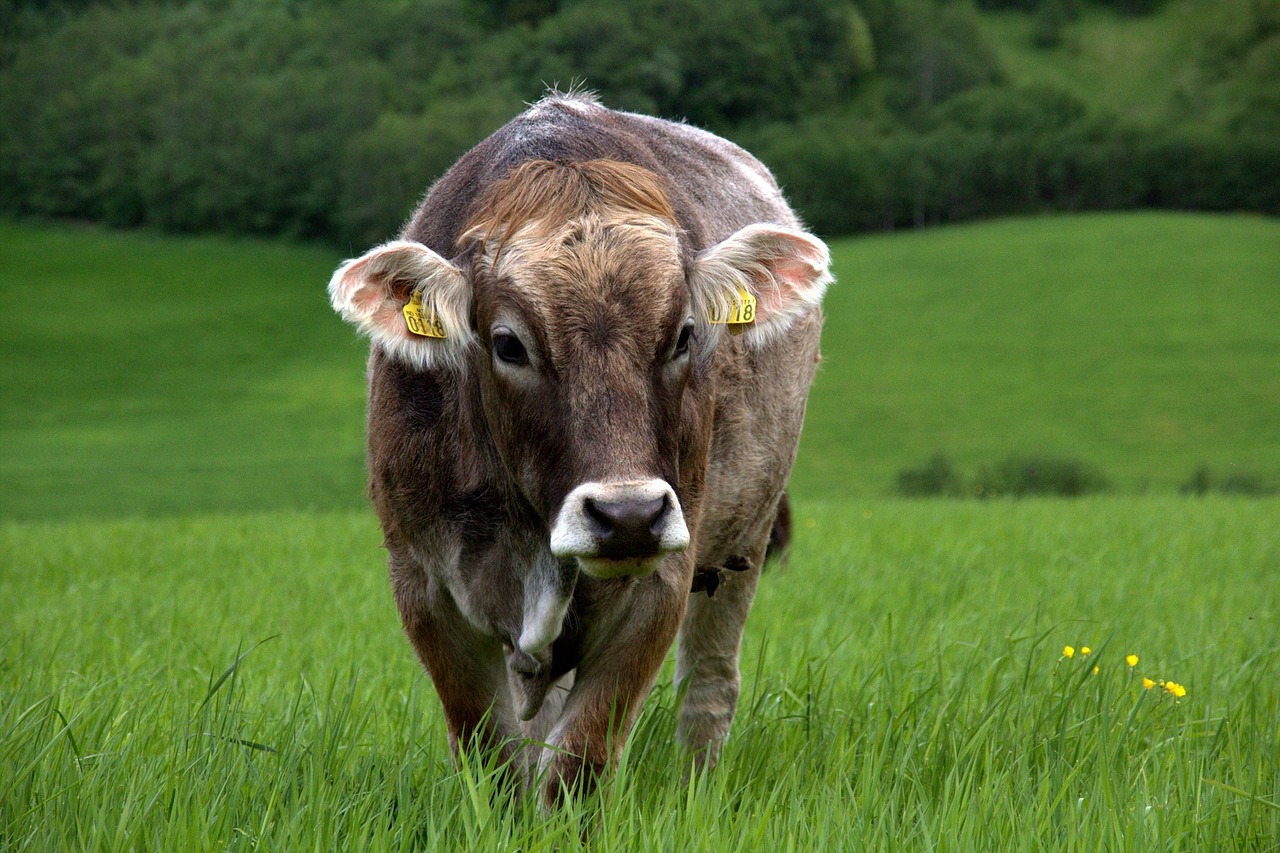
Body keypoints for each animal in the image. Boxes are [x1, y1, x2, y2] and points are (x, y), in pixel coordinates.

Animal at [327, 92, 829, 804]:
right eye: (508, 344)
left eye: (683, 335)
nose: (628, 516)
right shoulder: (423, 586)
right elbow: (491, 750)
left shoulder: (660, 585)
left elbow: (579, 761)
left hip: (743, 540)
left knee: (709, 687)